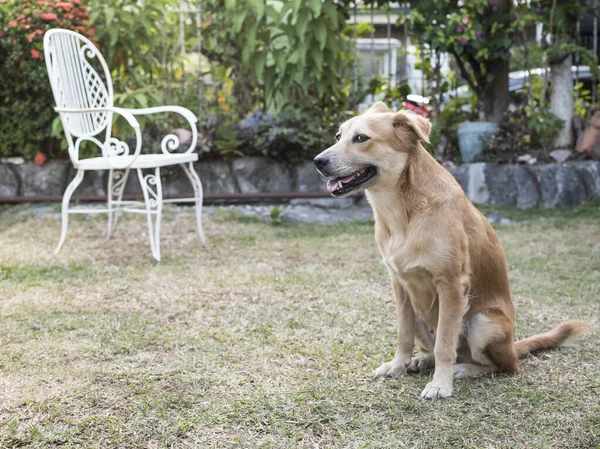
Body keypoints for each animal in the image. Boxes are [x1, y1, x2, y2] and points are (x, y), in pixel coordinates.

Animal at [314, 102, 584, 400]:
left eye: (361, 138)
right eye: (338, 136)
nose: (318, 161)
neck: (404, 211)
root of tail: (513, 346)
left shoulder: (452, 284)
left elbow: (445, 344)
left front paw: (440, 384)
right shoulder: (399, 285)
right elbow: (403, 335)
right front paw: (398, 365)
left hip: (482, 323)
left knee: (502, 366)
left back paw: (463, 369)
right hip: (421, 315)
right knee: (436, 348)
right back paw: (421, 362)